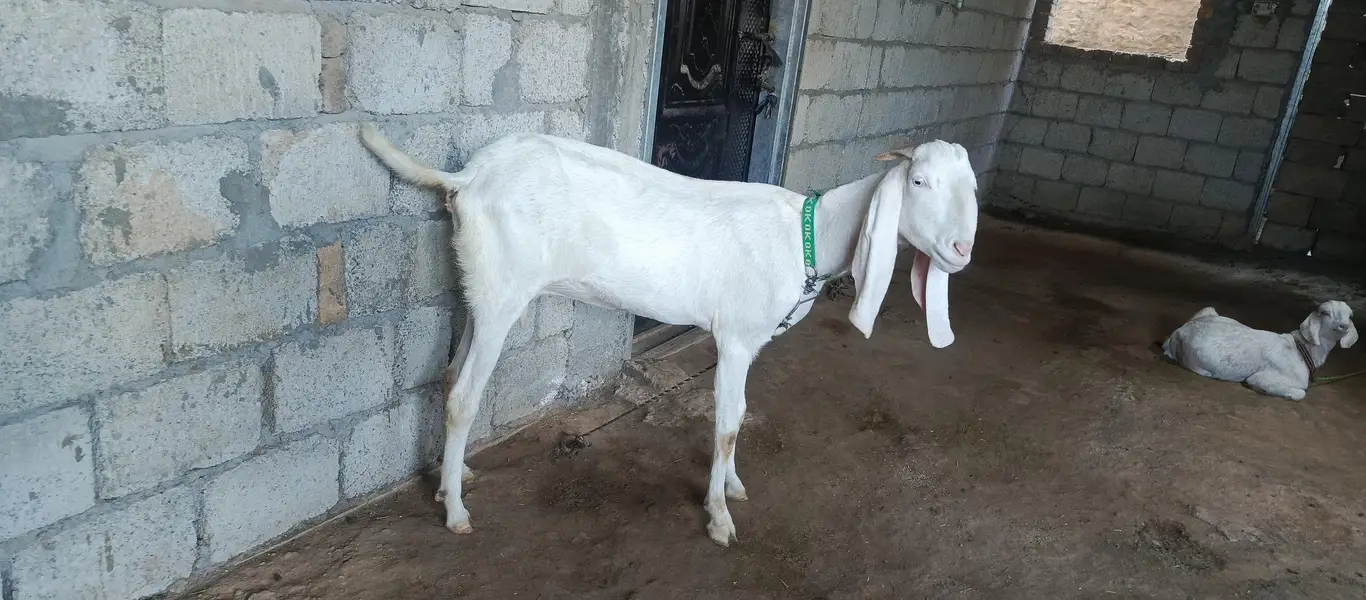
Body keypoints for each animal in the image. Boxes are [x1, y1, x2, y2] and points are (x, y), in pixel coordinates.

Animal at [359, 123, 980, 546]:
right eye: (918, 181)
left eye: (970, 187)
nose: (960, 250)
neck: (805, 235)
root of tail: (467, 177)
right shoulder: (733, 338)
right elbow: (727, 425)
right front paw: (719, 517)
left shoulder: (750, 344)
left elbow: (741, 413)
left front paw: (733, 487)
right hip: (502, 293)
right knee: (465, 395)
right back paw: (456, 513)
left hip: (477, 290)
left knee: (447, 376)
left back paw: (452, 476)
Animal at [1162, 300, 1358, 401]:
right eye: (1325, 313)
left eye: (1350, 315)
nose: (1344, 326)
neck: (1301, 350)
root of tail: (1177, 332)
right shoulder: (1263, 377)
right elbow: (1300, 394)